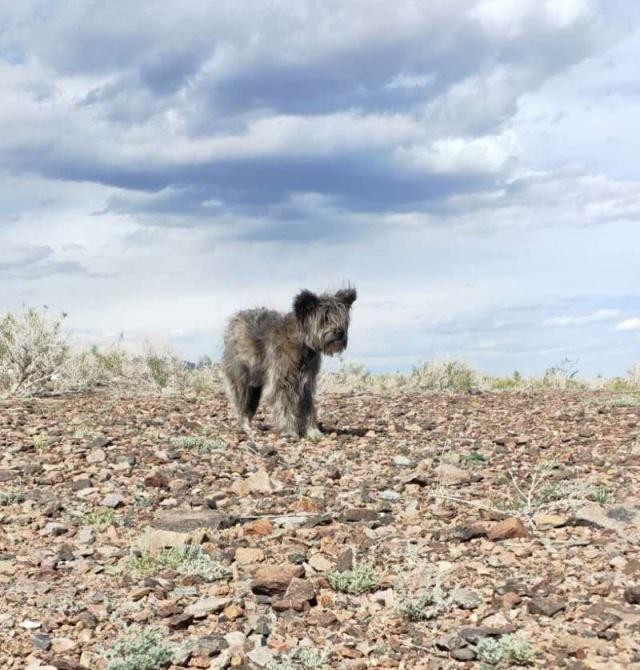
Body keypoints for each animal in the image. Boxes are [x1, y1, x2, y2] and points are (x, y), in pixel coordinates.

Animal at [224, 290, 356, 440]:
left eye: (341, 317)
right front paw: (290, 431)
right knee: (241, 402)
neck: (302, 342)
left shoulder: (305, 385)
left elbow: (308, 408)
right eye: (324, 318)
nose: (340, 332)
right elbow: (285, 407)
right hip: (241, 378)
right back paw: (245, 426)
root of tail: (235, 320)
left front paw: (312, 431)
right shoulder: (282, 383)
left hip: (255, 385)